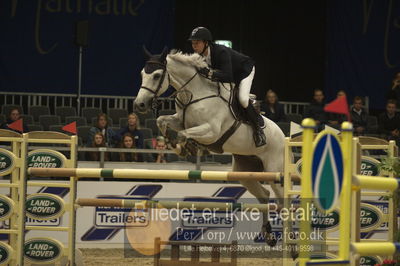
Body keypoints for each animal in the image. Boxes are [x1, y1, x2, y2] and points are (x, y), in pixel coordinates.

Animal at [135, 47, 288, 245]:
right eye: (142, 74)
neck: (193, 94)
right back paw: (268, 234)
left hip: (274, 172)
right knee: (264, 195)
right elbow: (162, 121)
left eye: (156, 75)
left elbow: (184, 134)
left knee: (283, 201)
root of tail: (284, 136)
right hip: (245, 173)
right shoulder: (180, 121)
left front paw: (187, 147)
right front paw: (175, 146)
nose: (139, 104)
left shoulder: (211, 131)